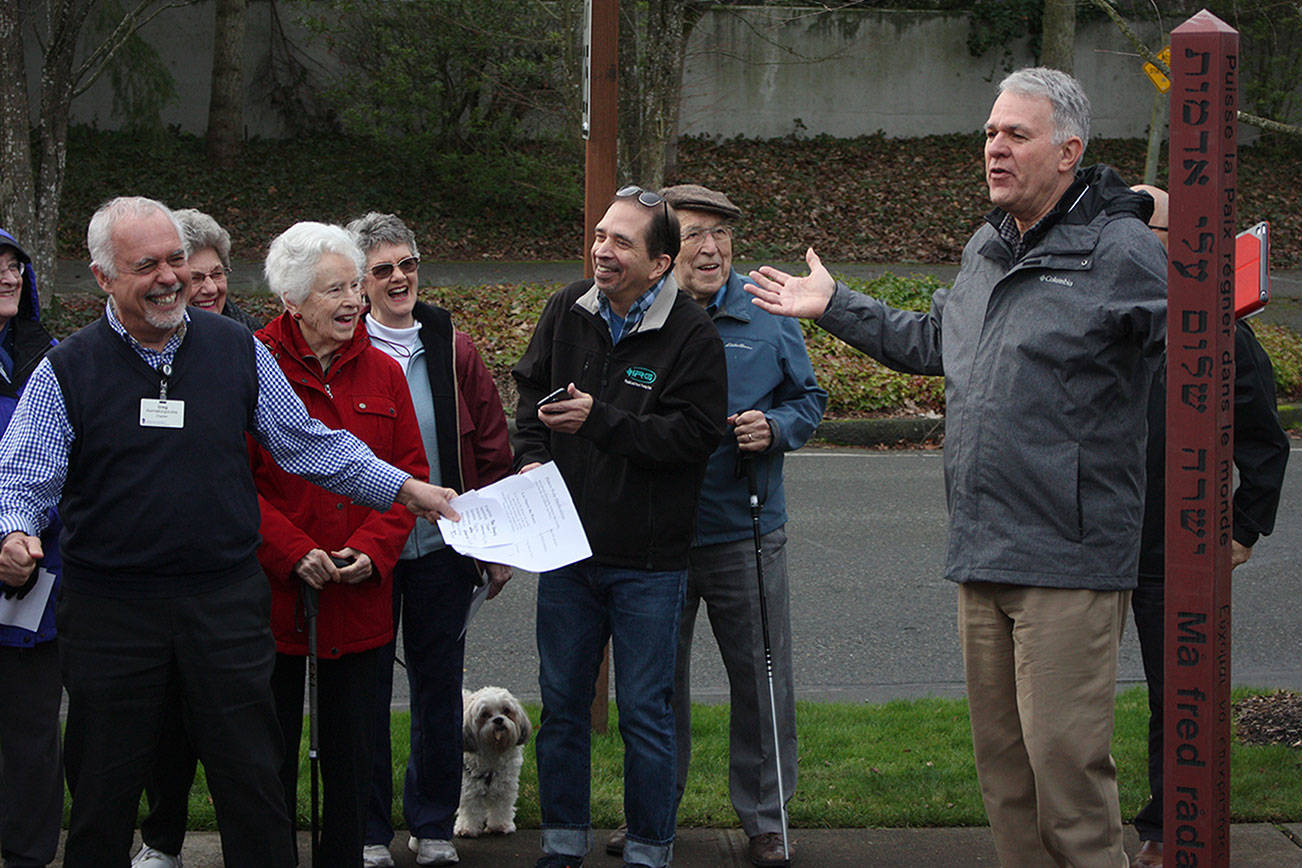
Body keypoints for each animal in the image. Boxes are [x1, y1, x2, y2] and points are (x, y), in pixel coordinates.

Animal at [450, 687, 526, 832]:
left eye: (506, 710)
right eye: (485, 714)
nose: (498, 720)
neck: (493, 751)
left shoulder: (505, 782)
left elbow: (501, 804)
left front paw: (499, 825)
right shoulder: (469, 780)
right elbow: (470, 805)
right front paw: (468, 827)